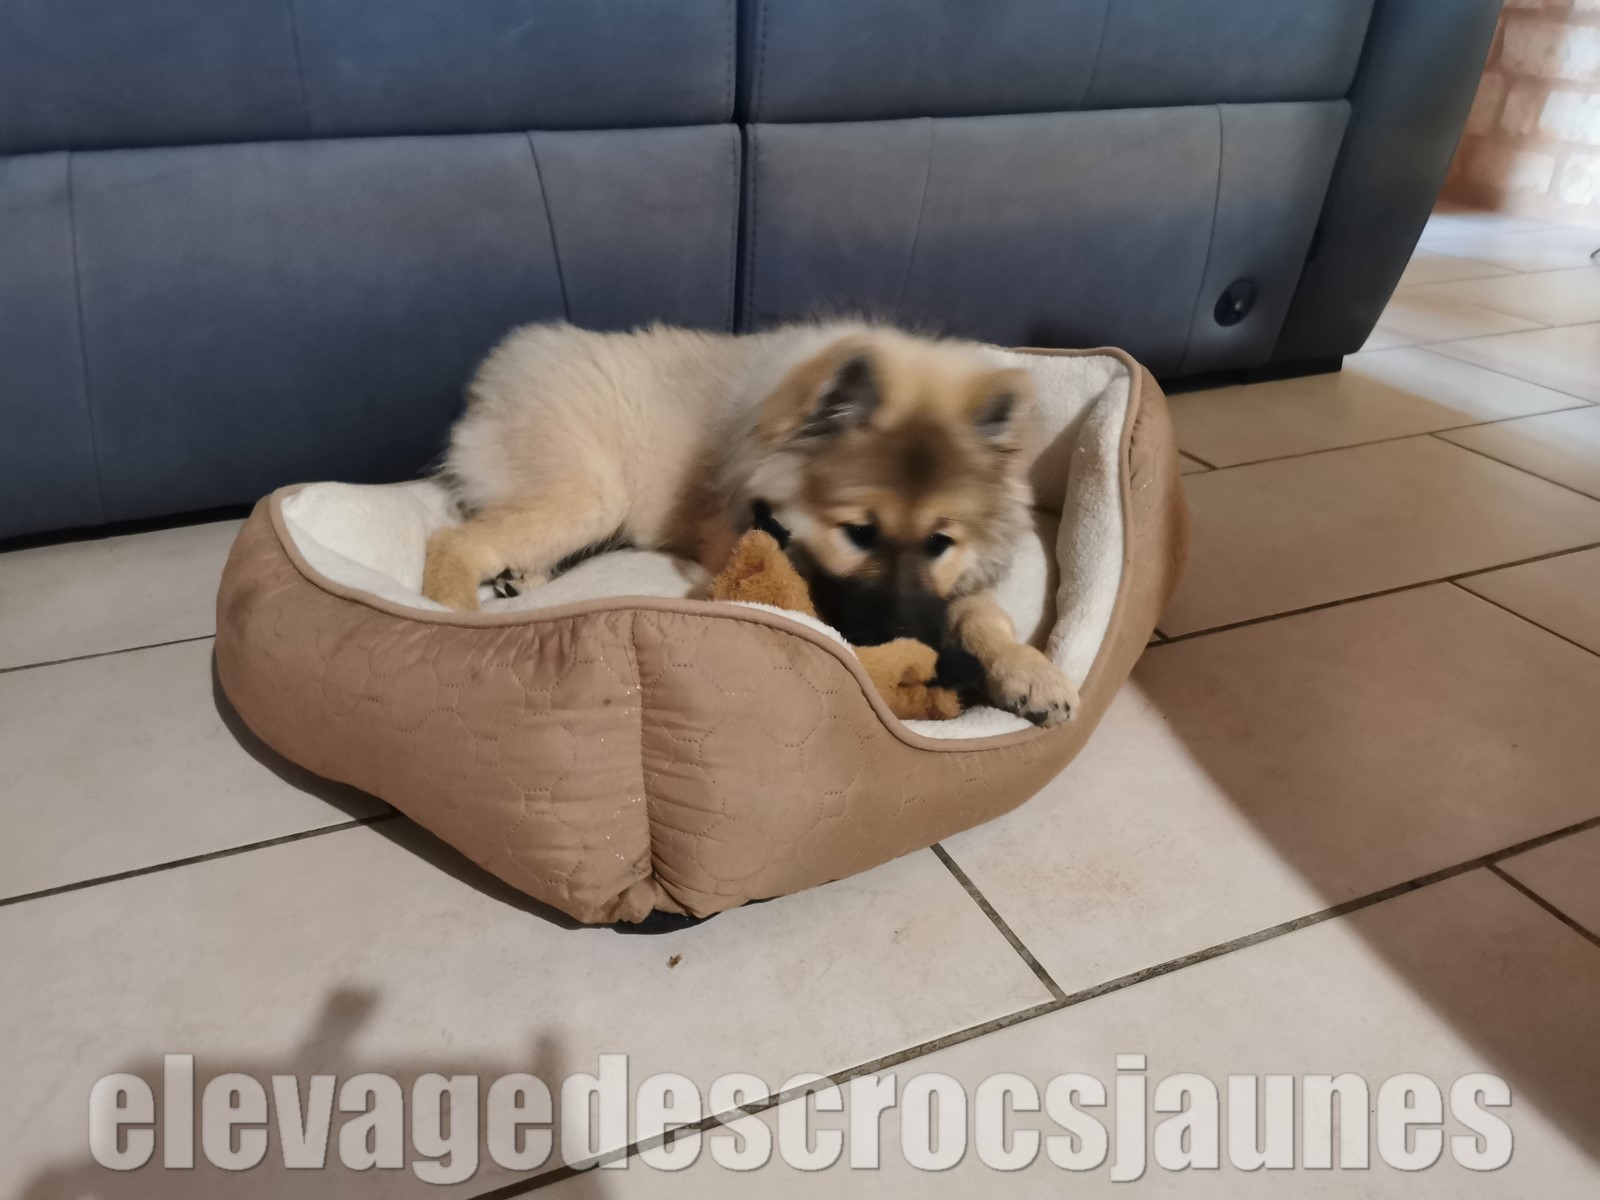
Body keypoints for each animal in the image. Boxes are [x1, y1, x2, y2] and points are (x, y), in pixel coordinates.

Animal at [423, 321, 1078, 725]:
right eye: (859, 533)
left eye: (940, 541)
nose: (913, 638)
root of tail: (495, 376)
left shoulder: (953, 585)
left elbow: (983, 614)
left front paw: (1031, 673)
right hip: (591, 493)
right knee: (456, 541)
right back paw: (450, 622)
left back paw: (522, 577)